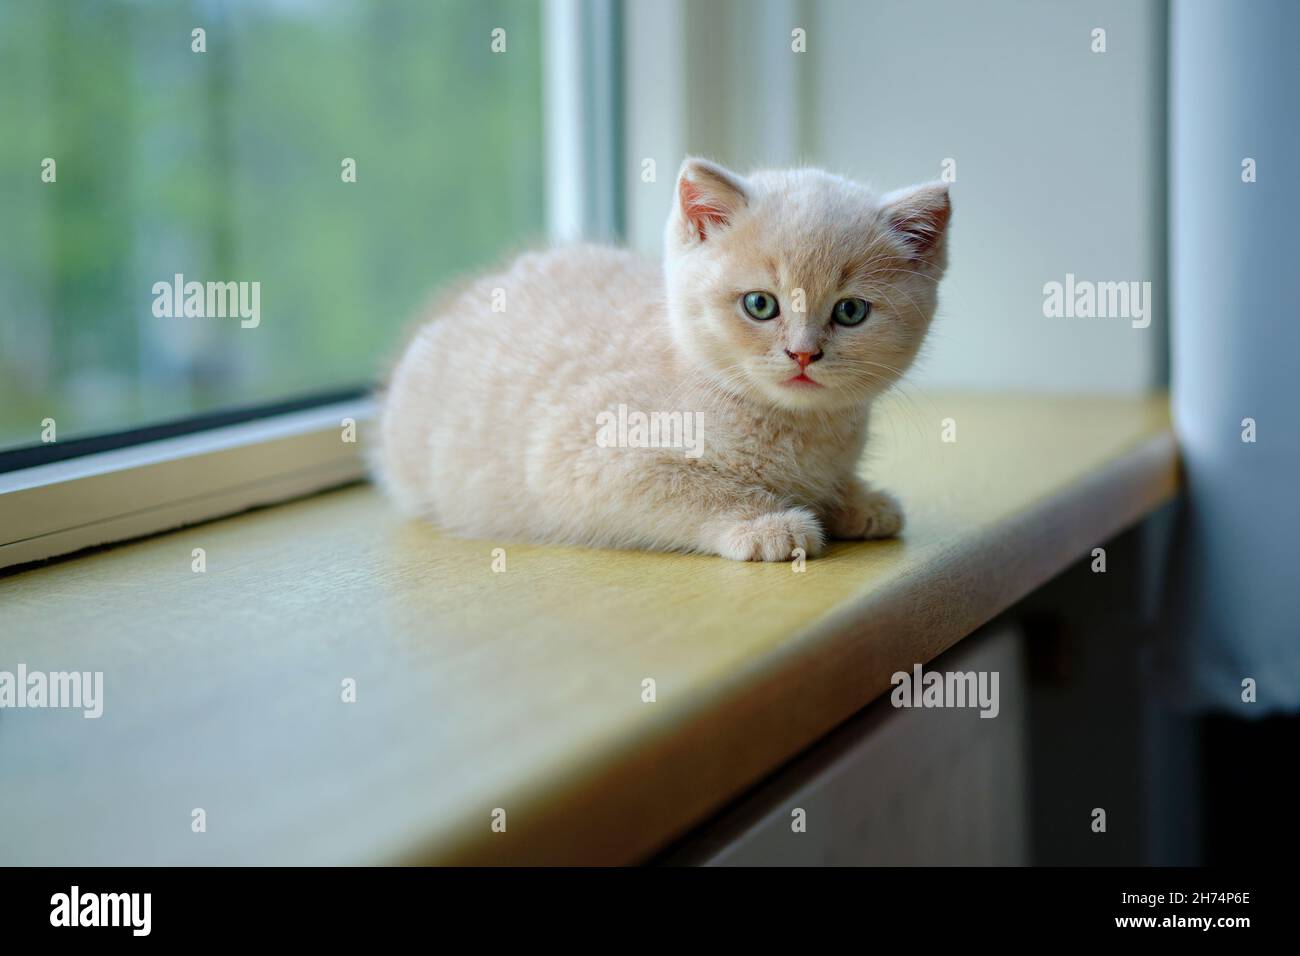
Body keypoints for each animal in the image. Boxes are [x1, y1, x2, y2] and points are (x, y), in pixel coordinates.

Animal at [371, 157, 951, 561]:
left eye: (850, 311)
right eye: (760, 304)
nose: (803, 352)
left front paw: (858, 500)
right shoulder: (585, 462)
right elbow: (697, 488)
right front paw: (769, 524)